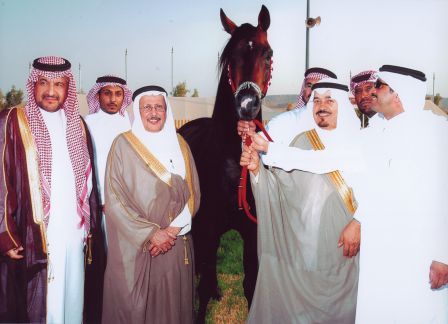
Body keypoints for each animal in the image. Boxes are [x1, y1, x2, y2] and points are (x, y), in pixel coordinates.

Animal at [178, 5, 272, 324]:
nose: (247, 104)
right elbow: (204, 283)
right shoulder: (207, 228)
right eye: (230, 57)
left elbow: (250, 283)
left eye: (267, 54)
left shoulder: (252, 231)